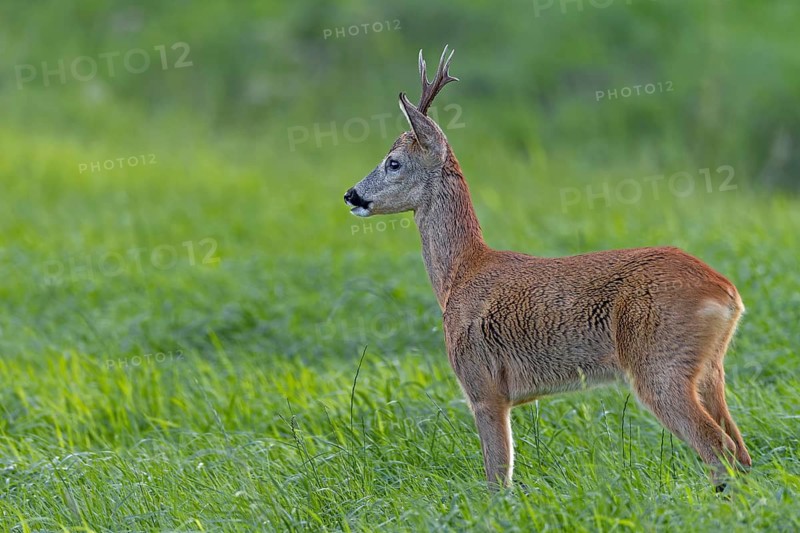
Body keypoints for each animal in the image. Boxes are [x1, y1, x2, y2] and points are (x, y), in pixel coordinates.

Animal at [343, 46, 751, 492]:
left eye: (393, 162)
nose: (351, 194)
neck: (459, 274)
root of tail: (727, 292)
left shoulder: (483, 387)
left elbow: (497, 479)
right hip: (710, 370)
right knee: (741, 450)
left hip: (659, 364)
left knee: (719, 449)